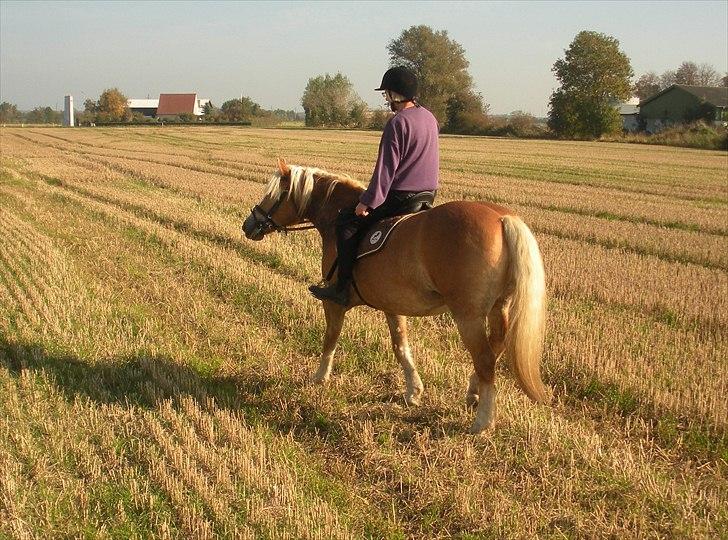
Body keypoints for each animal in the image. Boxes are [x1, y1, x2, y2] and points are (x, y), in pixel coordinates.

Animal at [242, 158, 549, 434]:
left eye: (274, 194)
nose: (248, 225)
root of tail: (502, 218)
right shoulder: (392, 305)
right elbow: (400, 346)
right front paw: (414, 391)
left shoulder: (333, 303)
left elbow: (331, 337)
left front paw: (319, 377)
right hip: (499, 308)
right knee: (495, 348)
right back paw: (473, 393)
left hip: (468, 316)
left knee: (485, 358)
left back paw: (483, 421)